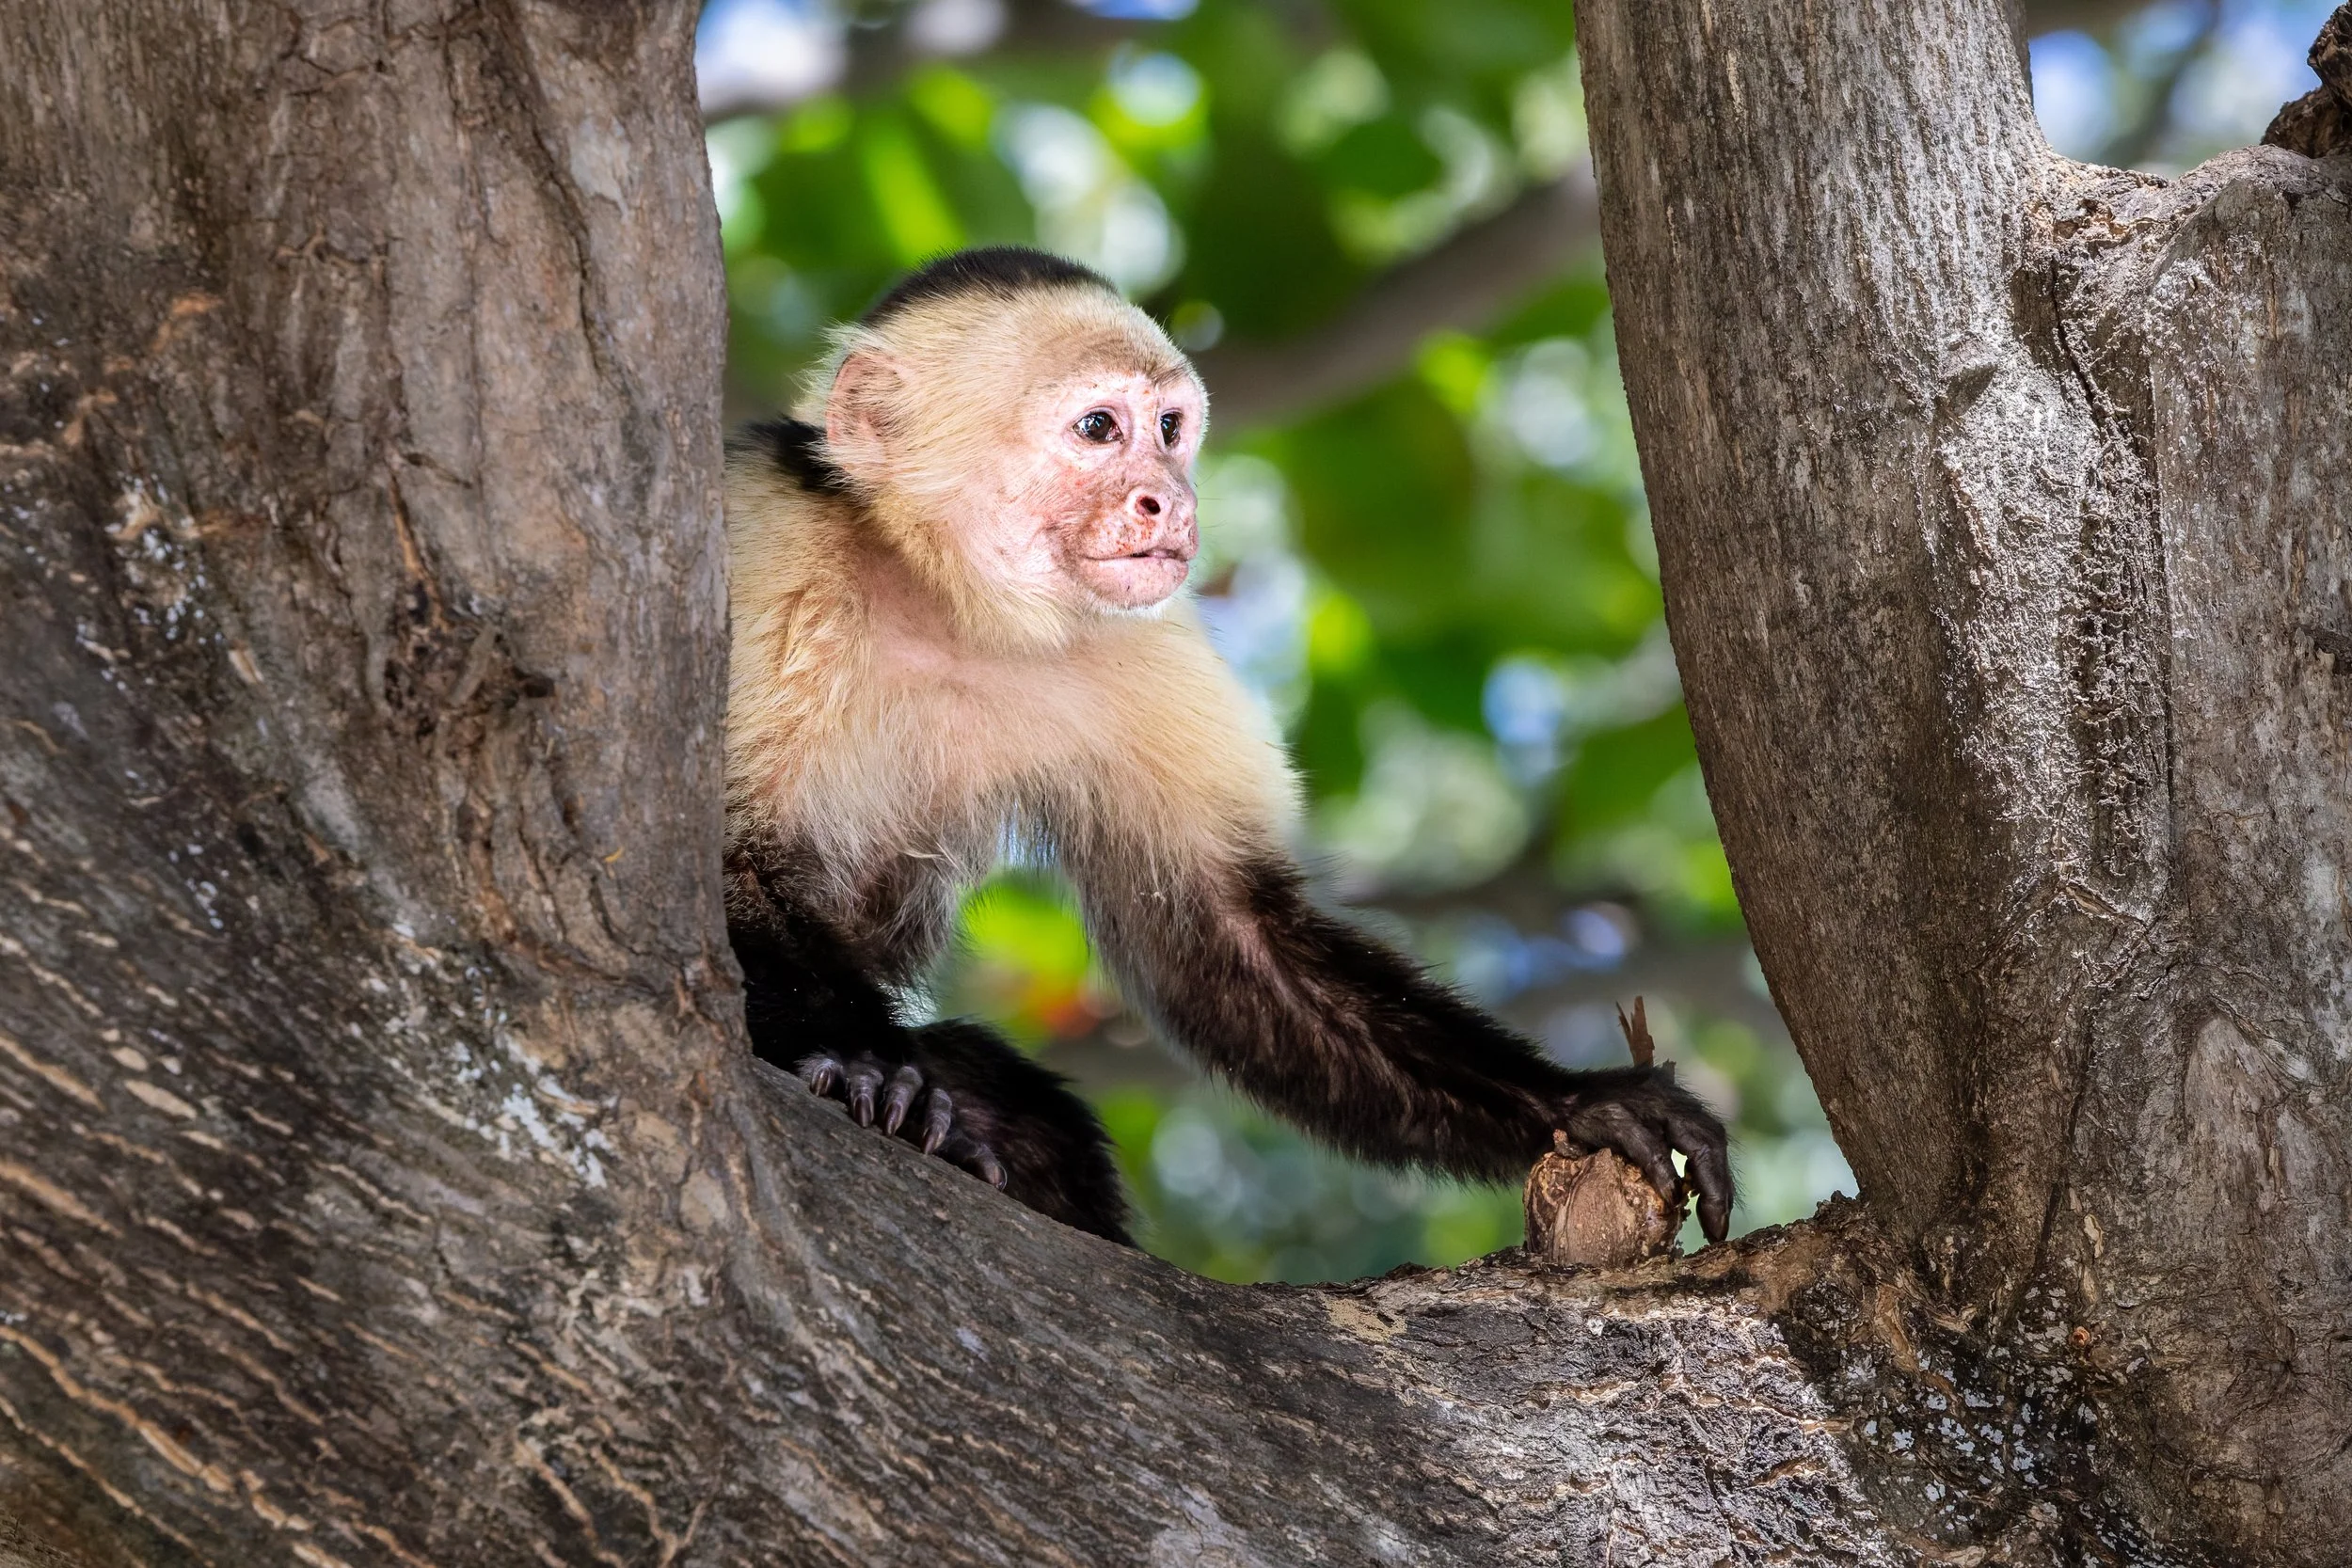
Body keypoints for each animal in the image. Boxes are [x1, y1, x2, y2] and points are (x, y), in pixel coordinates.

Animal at [724, 246, 1733, 1250]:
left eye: (1170, 430)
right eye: (1099, 428)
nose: (1171, 501)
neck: (943, 600)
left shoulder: (1145, 650)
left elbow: (1225, 934)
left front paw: (1584, 1102)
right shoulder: (767, 547)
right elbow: (717, 853)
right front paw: (861, 1059)